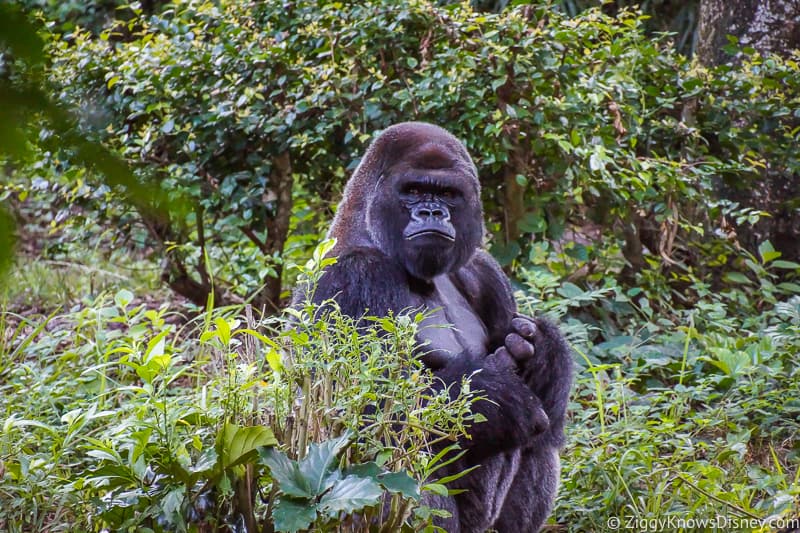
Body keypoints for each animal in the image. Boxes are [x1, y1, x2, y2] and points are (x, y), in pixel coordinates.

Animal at [300, 121, 568, 532]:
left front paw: (544, 352)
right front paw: (494, 393)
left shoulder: (484, 270)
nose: (432, 211)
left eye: (447, 194)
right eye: (413, 191)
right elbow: (365, 415)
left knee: (544, 439)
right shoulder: (352, 277)